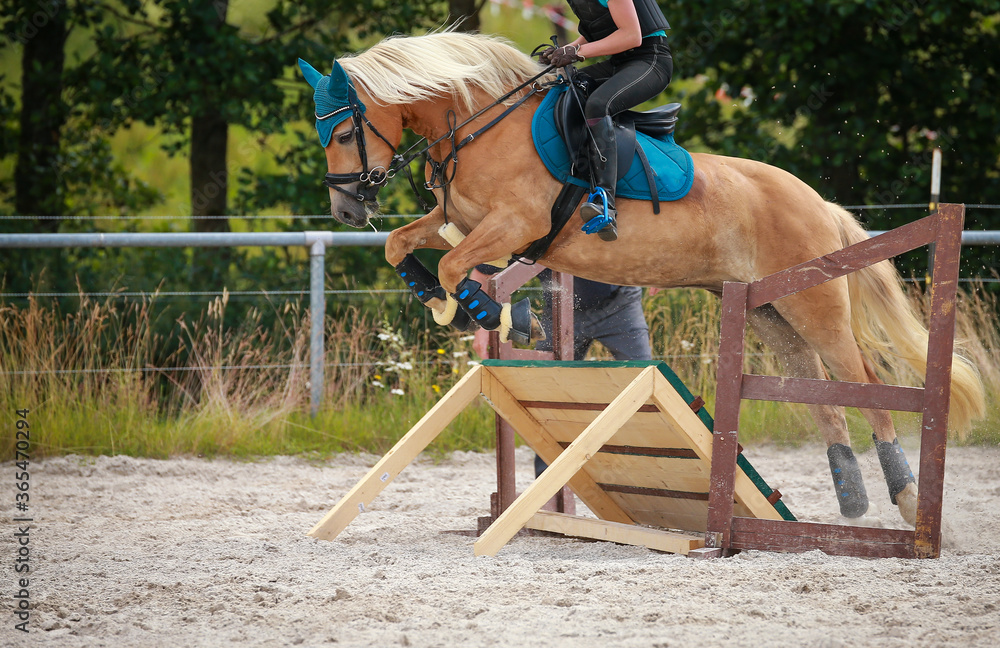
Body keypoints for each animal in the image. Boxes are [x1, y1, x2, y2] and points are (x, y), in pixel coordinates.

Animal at [298, 29, 984, 528]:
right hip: (771, 313)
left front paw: (477, 308)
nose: (344, 211)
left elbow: (451, 263)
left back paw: (904, 501)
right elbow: (405, 246)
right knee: (815, 387)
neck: (477, 126)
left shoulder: (513, 224)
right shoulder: (462, 221)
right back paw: (850, 500)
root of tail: (817, 202)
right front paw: (451, 302)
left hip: (816, 305)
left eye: (344, 130)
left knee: (860, 380)